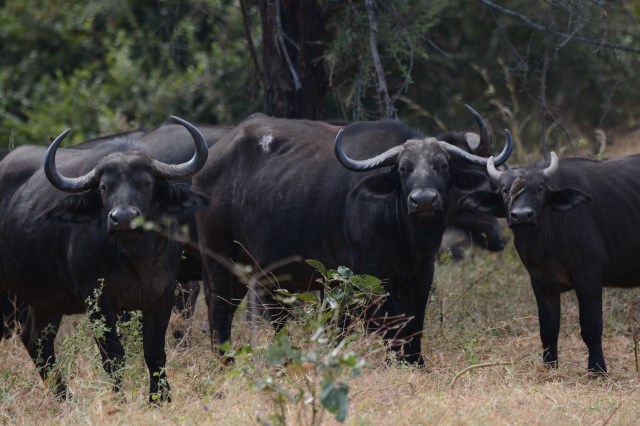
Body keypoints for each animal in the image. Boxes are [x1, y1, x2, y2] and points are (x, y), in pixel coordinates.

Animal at [0, 117, 208, 401]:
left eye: (146, 183)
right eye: (104, 187)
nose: (123, 218)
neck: (136, 260)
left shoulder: (163, 295)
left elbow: (155, 352)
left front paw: (160, 399)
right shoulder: (98, 302)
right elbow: (114, 356)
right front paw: (120, 400)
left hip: (45, 298)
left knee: (36, 341)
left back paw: (64, 398)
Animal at [194, 107, 512, 365]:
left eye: (442, 166)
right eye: (403, 169)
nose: (423, 200)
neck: (406, 239)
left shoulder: (420, 275)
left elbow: (413, 323)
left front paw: (417, 364)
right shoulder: (369, 277)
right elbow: (384, 325)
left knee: (271, 313)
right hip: (218, 257)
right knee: (219, 308)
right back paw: (226, 362)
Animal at [457, 149, 640, 374]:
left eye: (540, 188)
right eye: (505, 190)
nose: (522, 215)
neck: (547, 242)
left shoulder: (589, 278)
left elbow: (591, 326)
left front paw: (597, 369)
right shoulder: (540, 282)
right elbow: (548, 327)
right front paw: (549, 365)